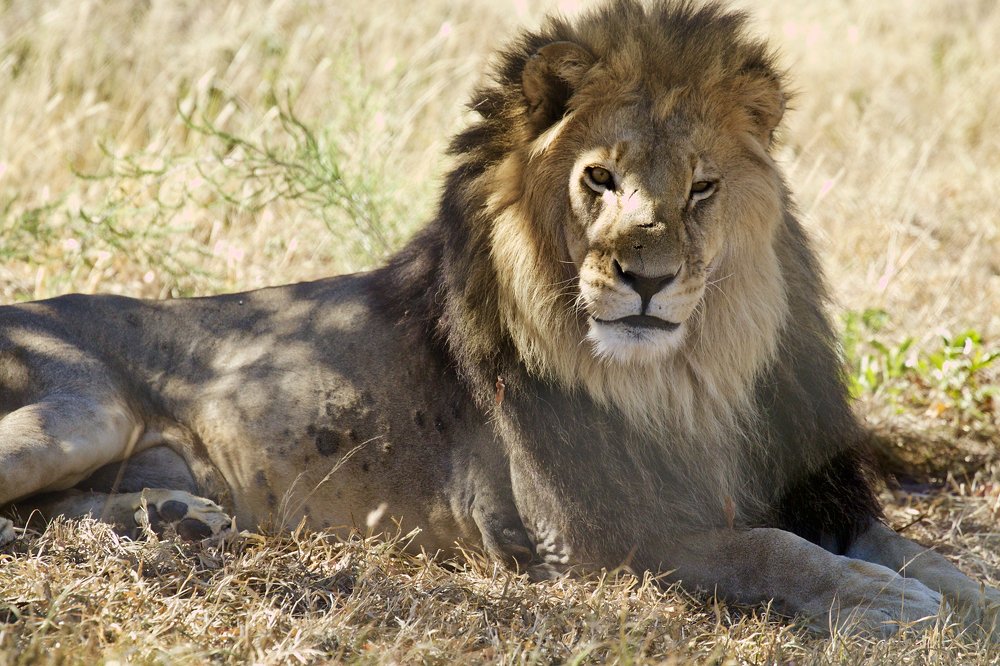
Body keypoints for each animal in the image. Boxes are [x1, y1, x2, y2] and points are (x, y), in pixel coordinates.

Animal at [1, 0, 997, 637]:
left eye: (702, 189)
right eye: (599, 178)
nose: (647, 278)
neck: (690, 374)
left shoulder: (800, 481)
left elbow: (916, 551)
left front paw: (965, 596)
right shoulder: (595, 533)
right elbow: (766, 549)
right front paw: (881, 601)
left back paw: (175, 517)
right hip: (83, 412)